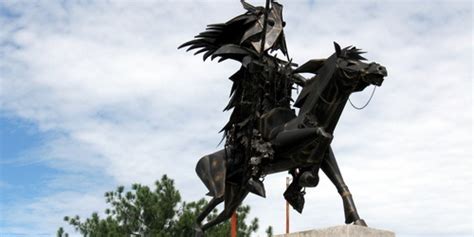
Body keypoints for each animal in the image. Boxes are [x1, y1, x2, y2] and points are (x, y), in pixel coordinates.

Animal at [194, 43, 386, 235]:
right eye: (350, 63)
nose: (380, 69)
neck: (303, 122)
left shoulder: (325, 157)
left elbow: (340, 182)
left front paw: (357, 220)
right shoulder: (282, 145)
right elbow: (321, 136)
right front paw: (300, 183)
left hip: (236, 190)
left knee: (224, 213)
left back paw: (200, 228)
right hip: (221, 184)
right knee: (215, 203)